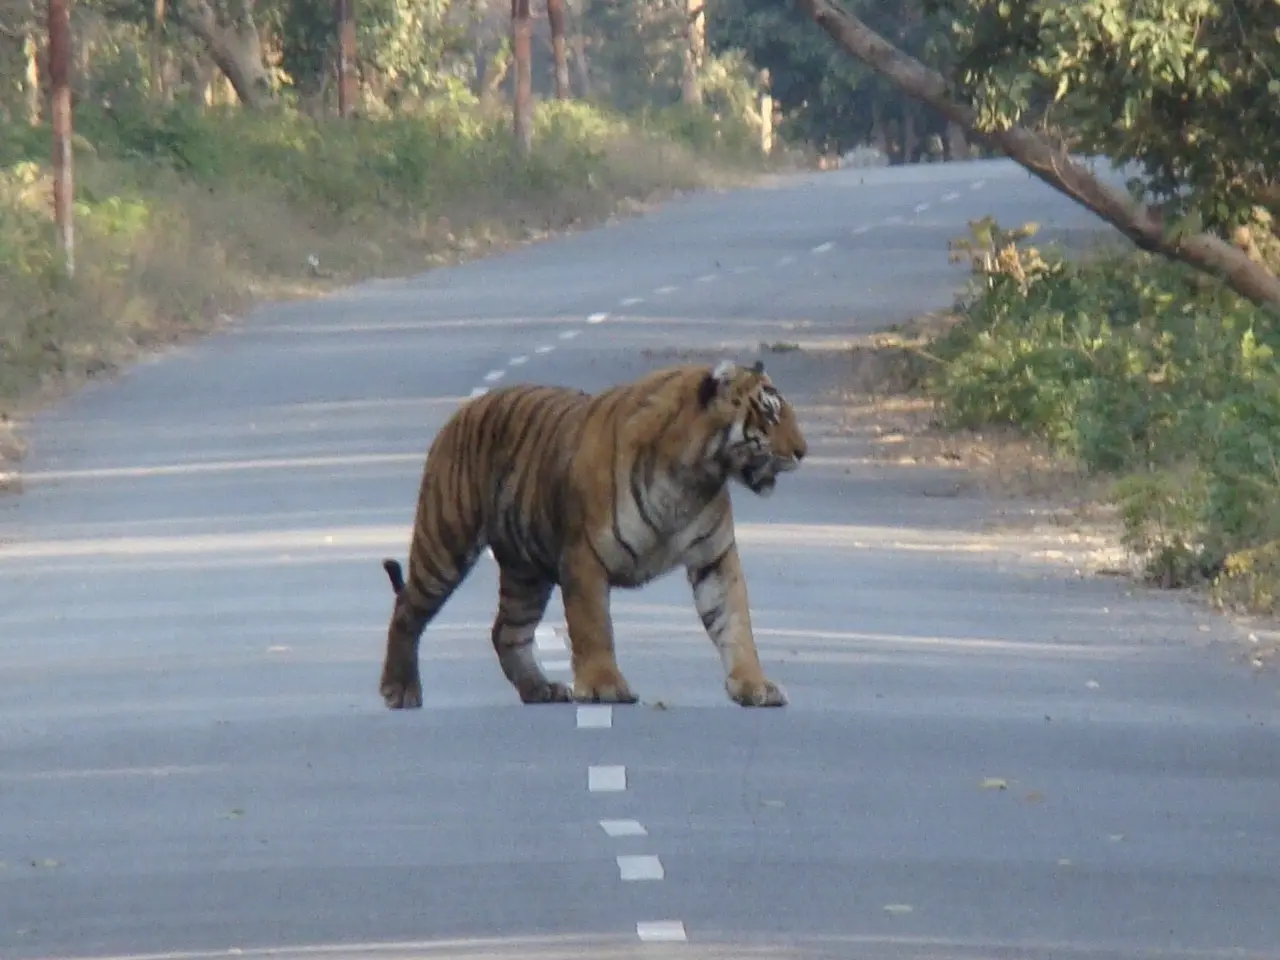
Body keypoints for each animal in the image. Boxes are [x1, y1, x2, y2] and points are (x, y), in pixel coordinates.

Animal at [377, 358, 808, 711]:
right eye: (770, 415)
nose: (803, 451)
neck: (695, 478)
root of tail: (464, 411)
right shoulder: (585, 556)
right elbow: (593, 625)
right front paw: (604, 686)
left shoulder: (714, 557)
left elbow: (734, 621)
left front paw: (754, 686)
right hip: (445, 543)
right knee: (407, 608)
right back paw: (400, 689)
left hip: (526, 574)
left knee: (506, 631)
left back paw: (540, 689)